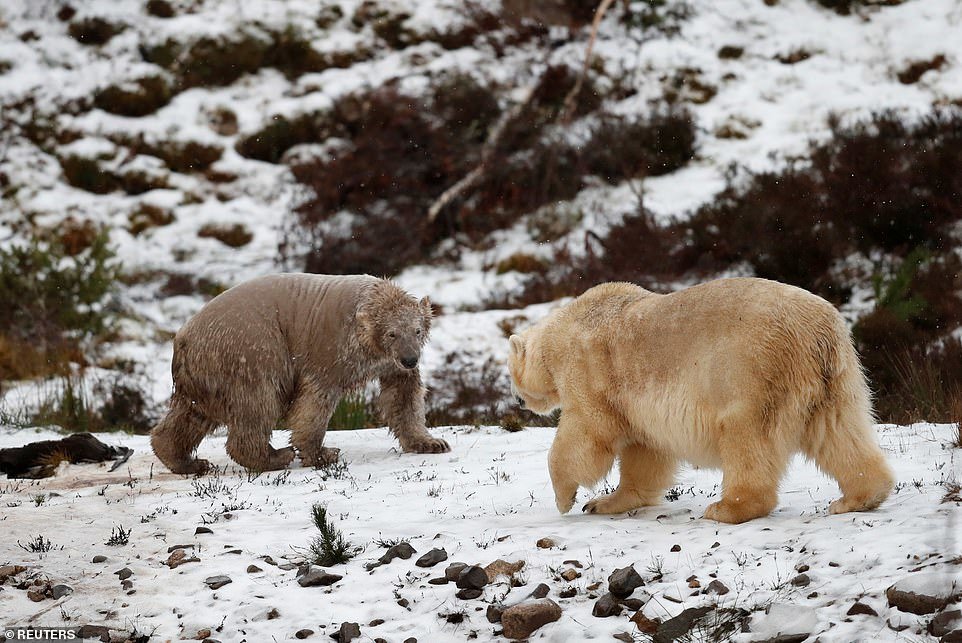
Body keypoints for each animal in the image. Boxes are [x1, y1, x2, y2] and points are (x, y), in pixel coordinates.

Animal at [151, 272, 450, 472]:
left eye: (417, 330)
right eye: (392, 333)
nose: (410, 359)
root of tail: (182, 339)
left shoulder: (387, 362)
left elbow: (403, 394)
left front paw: (431, 443)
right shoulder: (329, 348)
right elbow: (315, 400)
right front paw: (322, 453)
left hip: (204, 373)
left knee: (191, 413)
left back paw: (187, 461)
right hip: (250, 351)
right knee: (257, 403)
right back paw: (274, 456)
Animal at [506, 280, 896, 524]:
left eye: (509, 371)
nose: (519, 402)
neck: (567, 327)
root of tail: (818, 331)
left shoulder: (588, 370)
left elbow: (586, 434)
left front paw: (566, 499)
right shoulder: (638, 402)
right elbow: (644, 451)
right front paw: (606, 502)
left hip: (750, 371)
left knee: (747, 438)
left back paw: (727, 508)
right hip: (834, 378)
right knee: (838, 431)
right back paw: (858, 497)